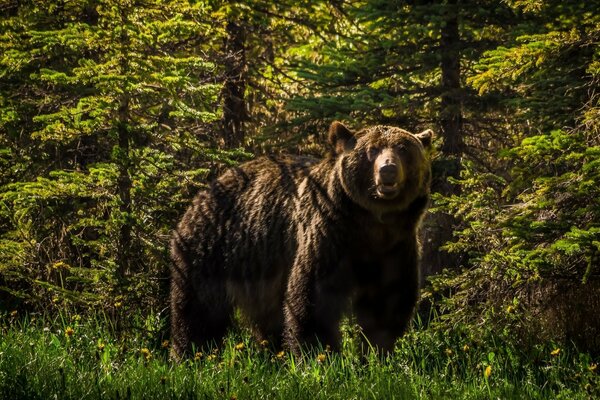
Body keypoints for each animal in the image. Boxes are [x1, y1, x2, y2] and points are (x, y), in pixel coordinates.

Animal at [169, 121, 432, 356]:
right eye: (372, 150)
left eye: (403, 149)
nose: (388, 170)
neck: (371, 224)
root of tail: (201, 195)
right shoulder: (329, 236)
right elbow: (313, 297)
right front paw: (320, 354)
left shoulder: (395, 246)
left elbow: (386, 302)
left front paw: (377, 353)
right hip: (210, 249)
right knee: (199, 310)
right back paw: (190, 353)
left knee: (266, 315)